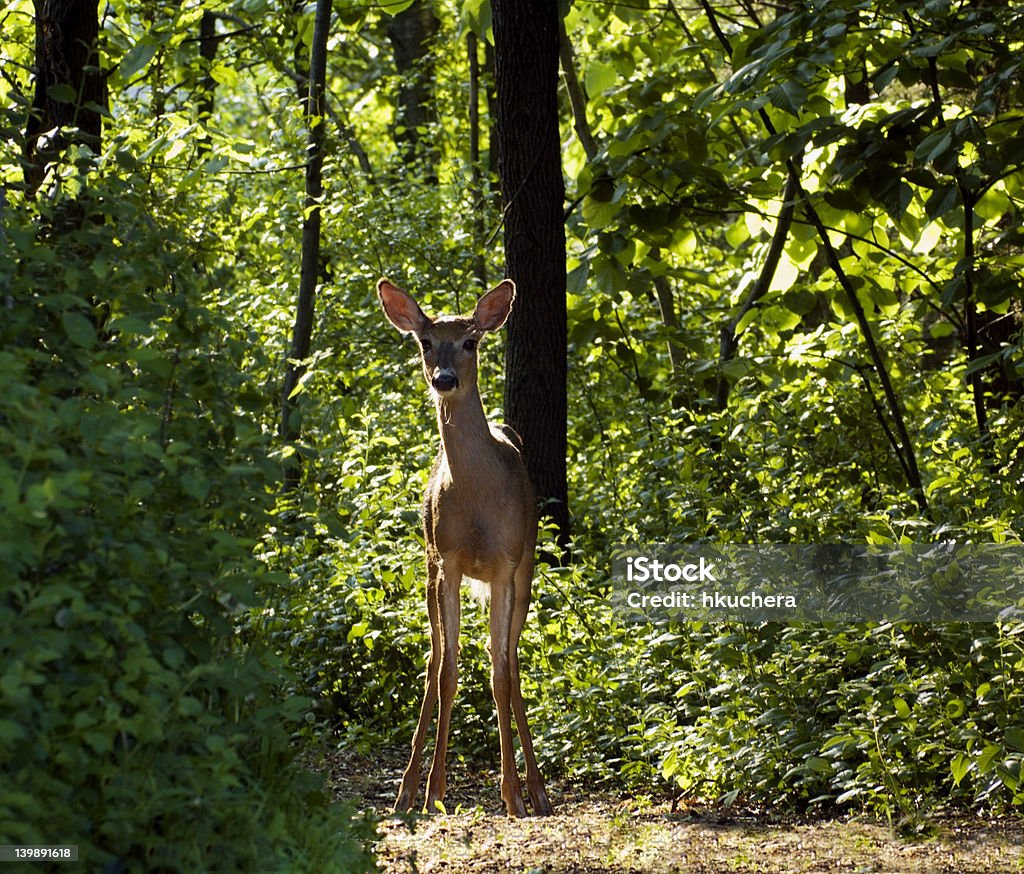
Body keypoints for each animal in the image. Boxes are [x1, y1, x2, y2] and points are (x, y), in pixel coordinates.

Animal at [378, 276, 552, 818]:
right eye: (425, 342)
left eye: (471, 341)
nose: (445, 379)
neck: (476, 500)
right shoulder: (449, 562)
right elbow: (449, 671)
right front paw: (433, 789)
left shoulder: (506, 565)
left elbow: (500, 675)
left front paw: (513, 794)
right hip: (429, 570)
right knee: (434, 663)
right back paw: (407, 789)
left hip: (526, 572)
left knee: (511, 662)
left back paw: (539, 789)